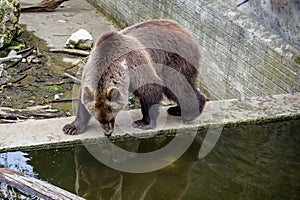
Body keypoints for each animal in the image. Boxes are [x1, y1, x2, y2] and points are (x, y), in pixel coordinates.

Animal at [63, 19, 206, 137]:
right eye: (99, 118)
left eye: (111, 115)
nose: (108, 132)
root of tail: (185, 31)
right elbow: (83, 101)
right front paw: (72, 127)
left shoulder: (135, 64)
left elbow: (150, 88)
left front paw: (144, 122)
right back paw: (177, 110)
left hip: (174, 59)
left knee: (177, 85)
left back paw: (190, 112)